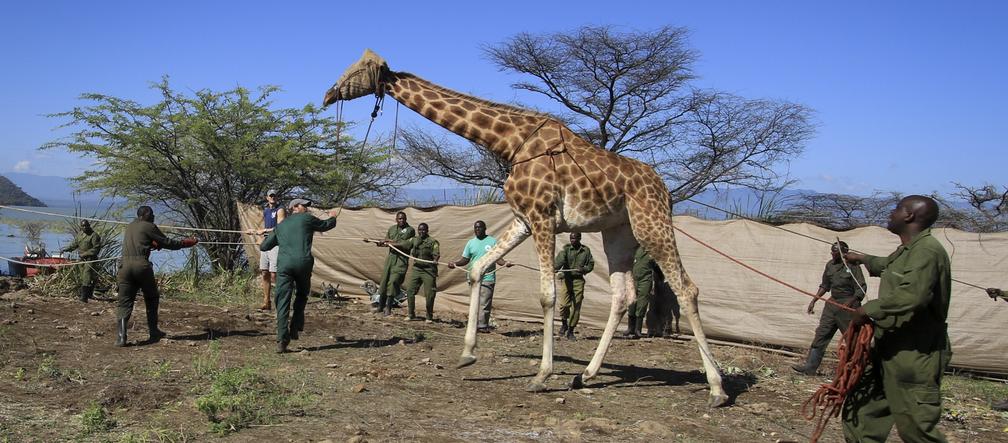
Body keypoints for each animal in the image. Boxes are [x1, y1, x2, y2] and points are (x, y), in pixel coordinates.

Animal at [326, 50, 729, 407]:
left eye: (357, 69)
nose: (329, 94)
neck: (510, 143)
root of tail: (665, 189)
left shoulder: (543, 217)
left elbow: (548, 295)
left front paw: (541, 375)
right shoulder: (522, 220)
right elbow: (477, 268)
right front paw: (467, 354)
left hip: (651, 221)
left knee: (687, 288)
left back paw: (717, 389)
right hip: (618, 231)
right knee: (622, 294)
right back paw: (586, 375)